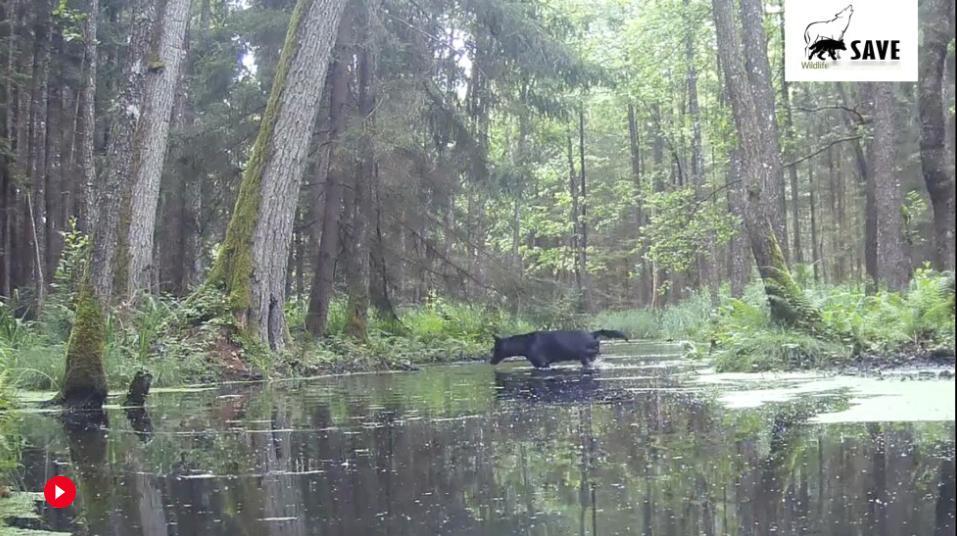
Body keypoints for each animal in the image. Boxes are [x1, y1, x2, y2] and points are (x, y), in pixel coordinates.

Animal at [492, 330, 628, 368]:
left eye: (494, 349)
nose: (490, 361)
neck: (525, 345)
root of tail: (592, 334)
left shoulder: (543, 364)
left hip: (585, 356)